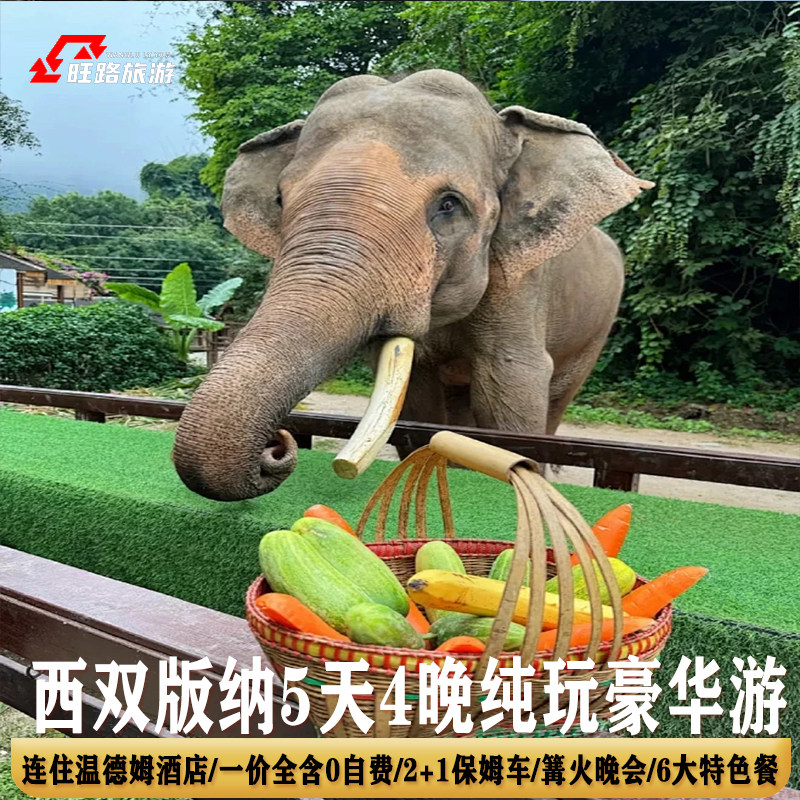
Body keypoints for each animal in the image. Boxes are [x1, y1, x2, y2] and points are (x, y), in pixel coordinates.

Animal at [173, 69, 652, 501]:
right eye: (279, 200)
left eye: (448, 205)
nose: (279, 442)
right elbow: (420, 399)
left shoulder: (518, 281)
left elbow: (511, 386)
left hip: (597, 325)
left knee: (557, 395)